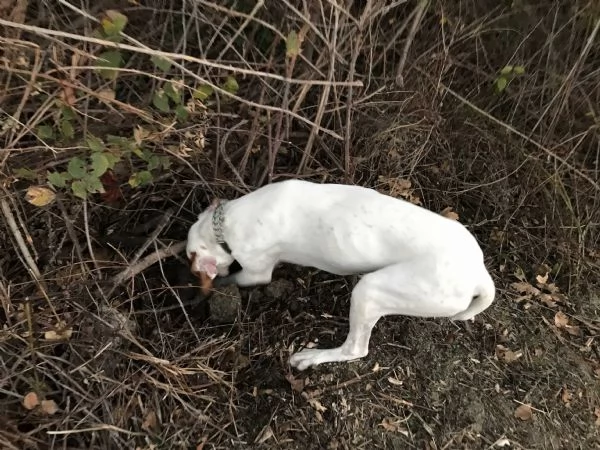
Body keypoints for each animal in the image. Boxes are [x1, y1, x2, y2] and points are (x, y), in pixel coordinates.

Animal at [189, 178, 496, 370]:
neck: (225, 225)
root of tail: (479, 275)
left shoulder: (256, 272)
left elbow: (235, 278)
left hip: (371, 291)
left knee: (355, 349)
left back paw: (313, 357)